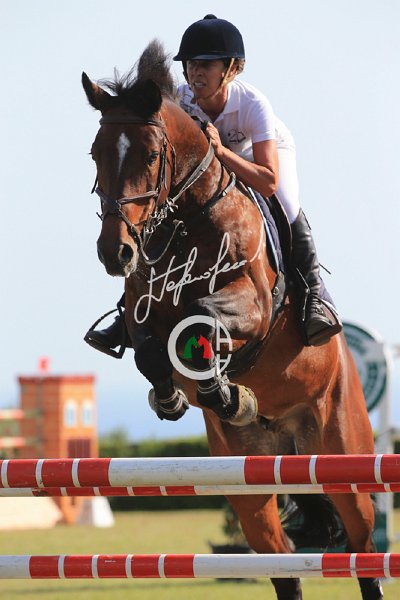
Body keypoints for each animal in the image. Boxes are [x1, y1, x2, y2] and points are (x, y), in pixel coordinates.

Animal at [82, 40, 381, 600]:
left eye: (150, 155)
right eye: (95, 153)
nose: (116, 253)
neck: (184, 222)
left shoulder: (253, 307)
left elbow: (202, 320)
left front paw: (224, 391)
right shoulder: (140, 312)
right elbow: (151, 348)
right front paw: (174, 398)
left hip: (342, 452)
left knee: (363, 547)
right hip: (248, 479)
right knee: (282, 561)